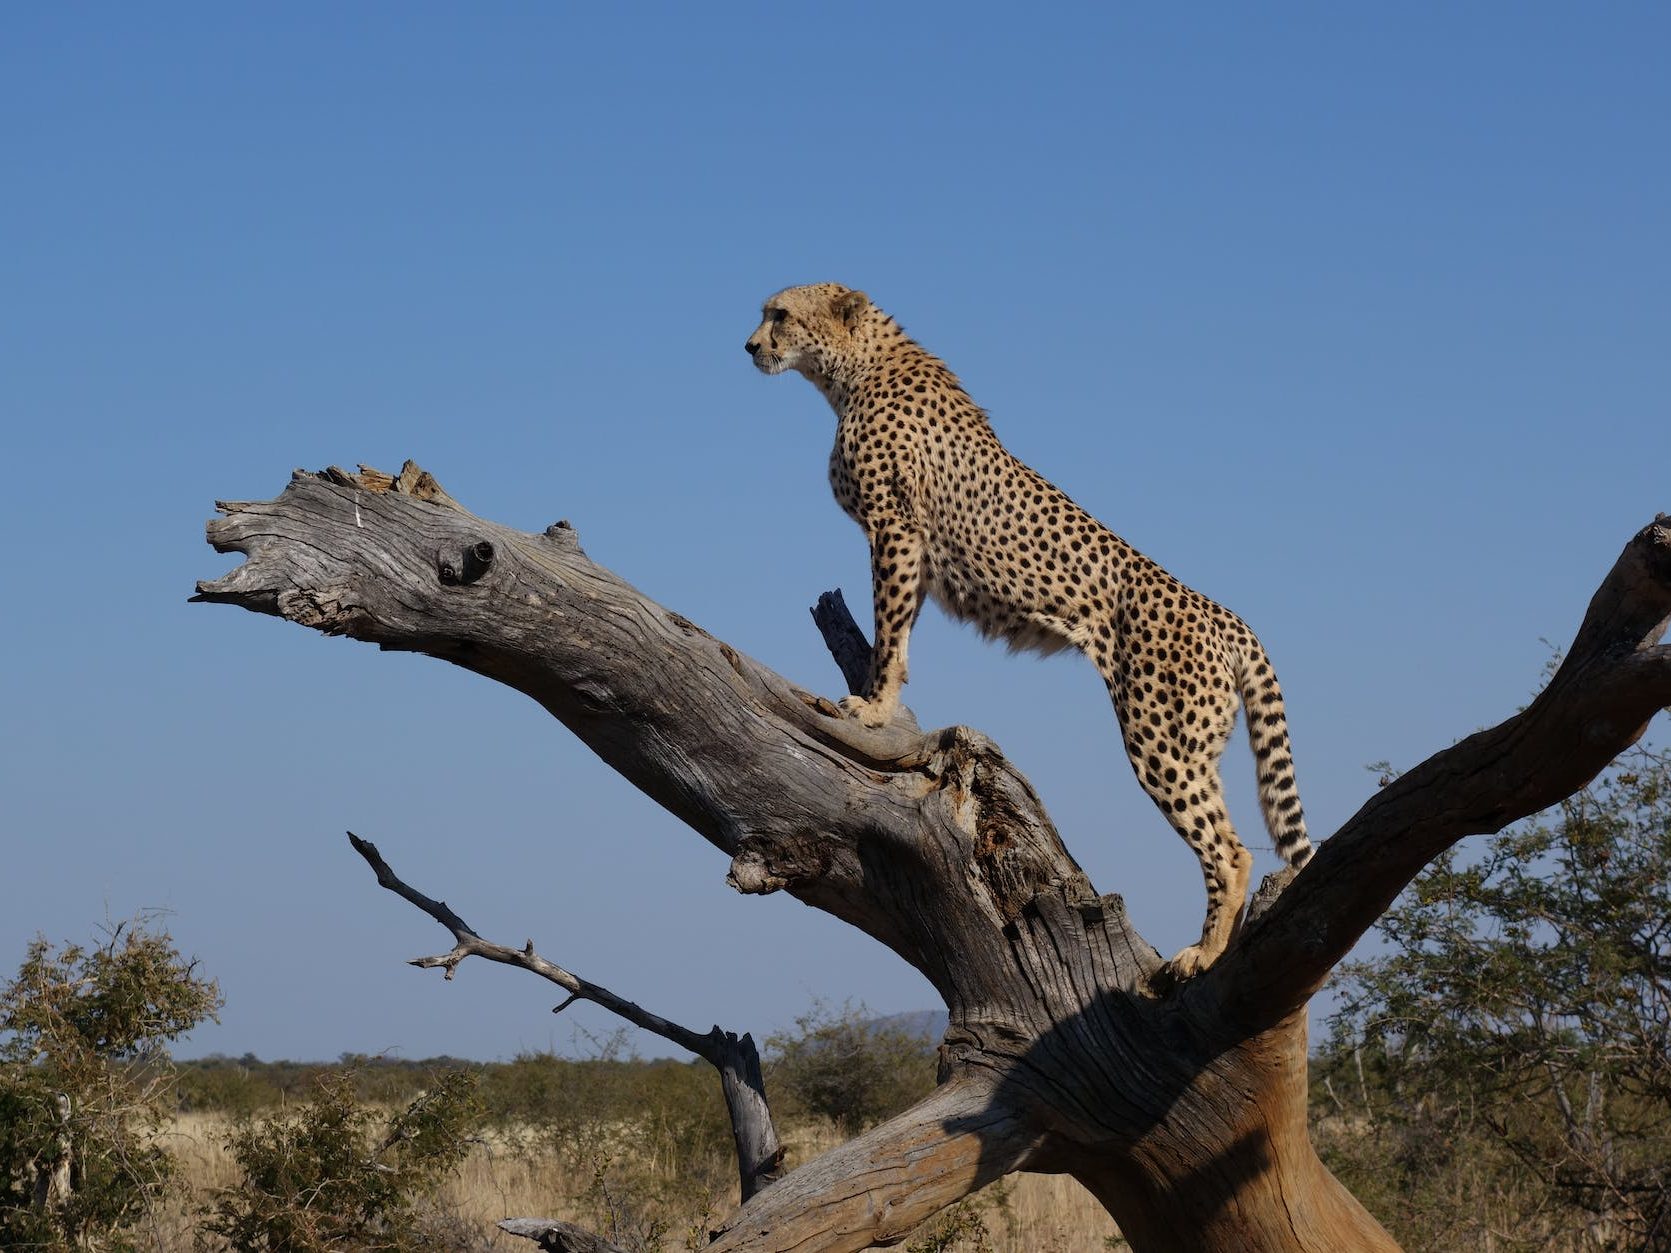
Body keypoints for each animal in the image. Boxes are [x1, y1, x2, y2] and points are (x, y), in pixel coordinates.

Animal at [745, 283, 1314, 977]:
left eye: (780, 315)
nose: (749, 345)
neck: (853, 371)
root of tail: (1226, 615)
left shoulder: (895, 530)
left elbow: (889, 629)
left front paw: (874, 709)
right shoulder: (914, 549)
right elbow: (899, 635)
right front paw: (882, 697)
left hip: (1161, 739)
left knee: (1230, 850)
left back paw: (1202, 954)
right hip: (1198, 744)